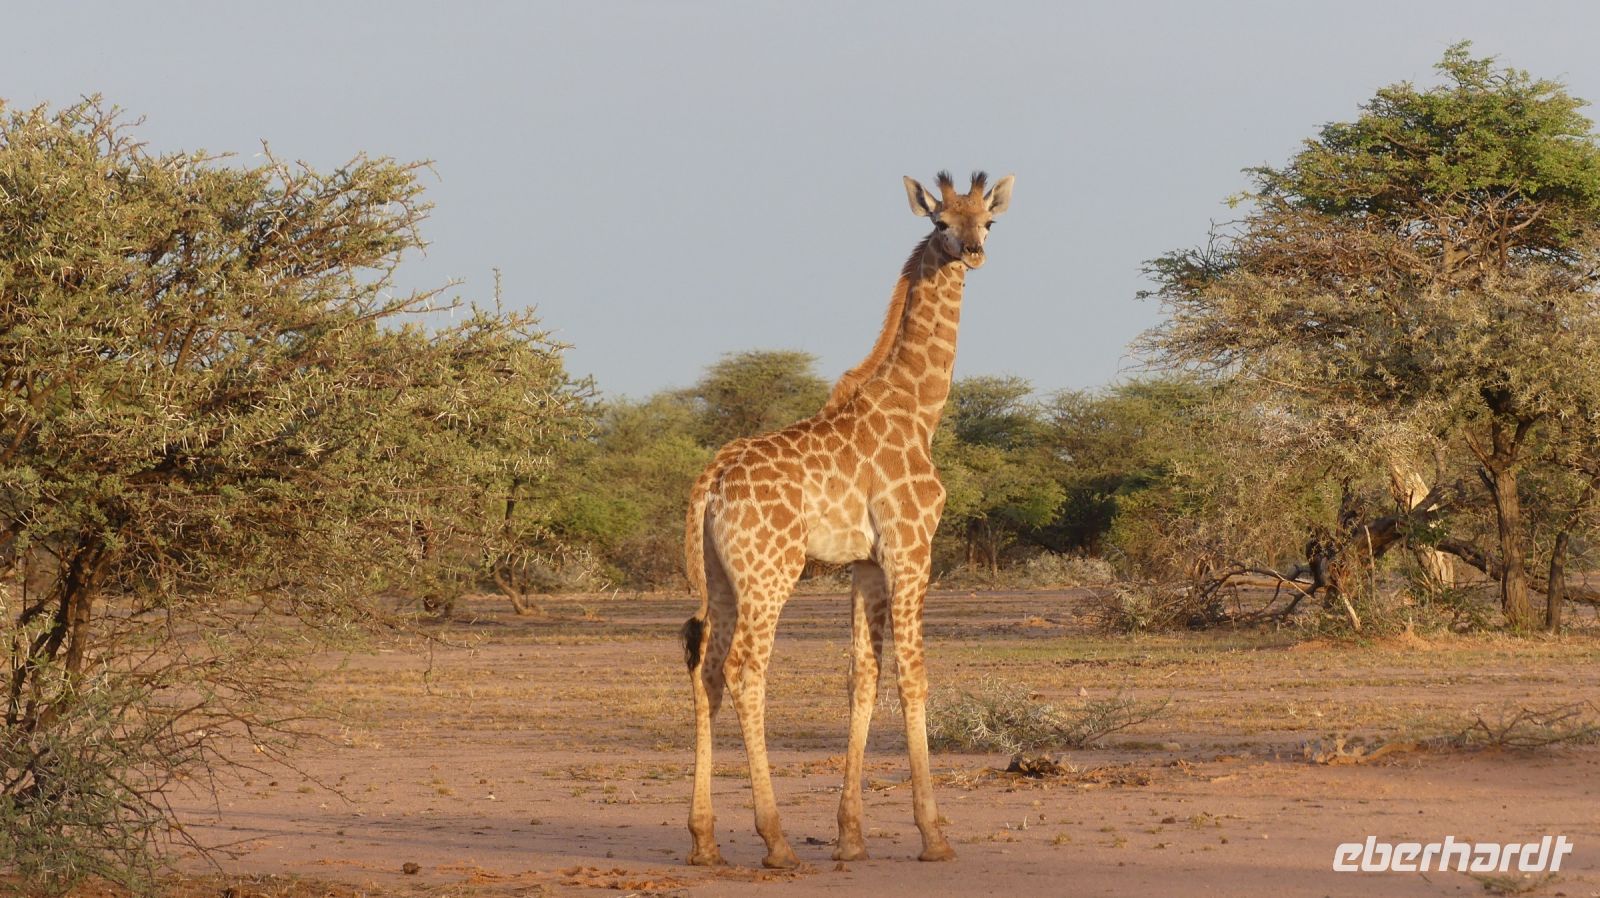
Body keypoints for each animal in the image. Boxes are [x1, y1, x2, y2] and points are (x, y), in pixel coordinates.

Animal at [680, 170, 1015, 868]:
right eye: (941, 222)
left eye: (989, 220)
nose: (972, 251)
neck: (920, 410)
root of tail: (709, 481)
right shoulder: (913, 549)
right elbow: (913, 676)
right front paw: (933, 834)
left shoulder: (865, 563)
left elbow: (863, 676)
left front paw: (851, 836)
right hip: (771, 571)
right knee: (746, 670)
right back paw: (776, 840)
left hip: (723, 577)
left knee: (707, 669)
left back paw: (704, 842)